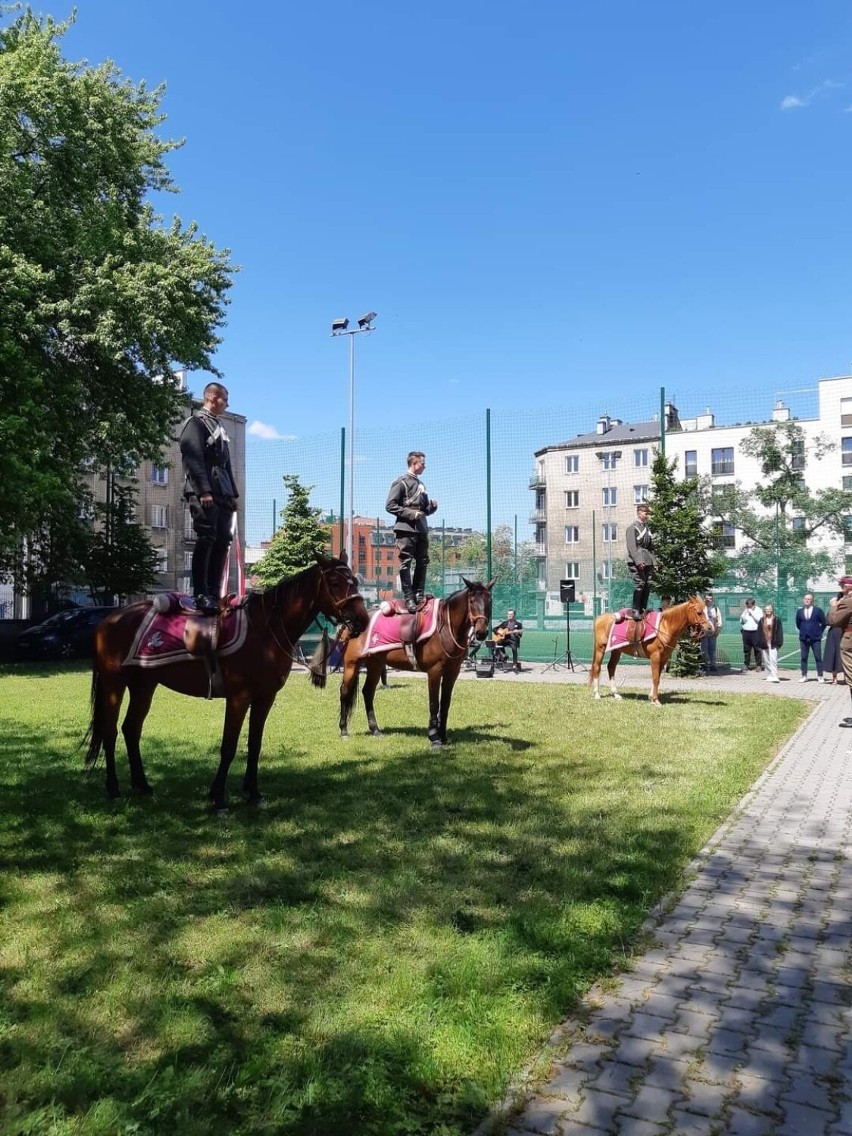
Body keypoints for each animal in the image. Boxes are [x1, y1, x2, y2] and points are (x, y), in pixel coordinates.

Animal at [83, 554, 370, 813]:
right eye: (334, 581)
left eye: (355, 581)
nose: (362, 620)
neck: (265, 630)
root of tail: (108, 620)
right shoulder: (239, 697)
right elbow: (229, 746)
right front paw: (219, 798)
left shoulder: (265, 697)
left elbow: (254, 744)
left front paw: (253, 793)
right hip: (114, 683)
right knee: (110, 730)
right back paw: (113, 787)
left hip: (144, 685)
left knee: (131, 729)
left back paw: (142, 785)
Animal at [338, 577, 497, 745]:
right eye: (472, 601)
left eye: (490, 600)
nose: (481, 632)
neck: (446, 628)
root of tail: (351, 623)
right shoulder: (434, 671)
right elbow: (434, 703)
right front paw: (434, 737)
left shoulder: (452, 672)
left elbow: (445, 704)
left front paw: (443, 736)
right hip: (351, 664)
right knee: (345, 692)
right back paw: (343, 731)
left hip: (375, 664)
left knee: (368, 692)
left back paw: (375, 730)